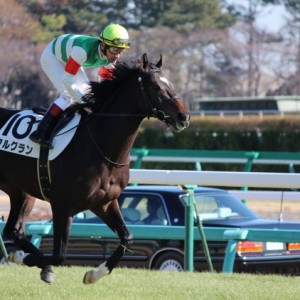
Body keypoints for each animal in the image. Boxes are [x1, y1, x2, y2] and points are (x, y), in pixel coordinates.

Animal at [0, 53, 190, 284]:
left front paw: (95, 273)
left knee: (13, 230)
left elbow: (127, 237)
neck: (101, 147)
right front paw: (25, 259)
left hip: (20, 191)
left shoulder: (105, 202)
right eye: (155, 86)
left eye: (171, 83)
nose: (184, 116)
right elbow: (59, 255)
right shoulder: (62, 205)